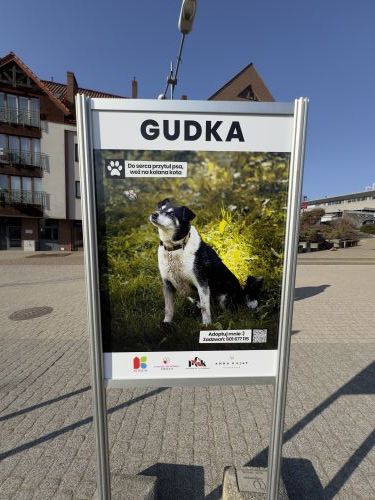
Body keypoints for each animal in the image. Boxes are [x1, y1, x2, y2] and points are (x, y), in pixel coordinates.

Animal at [151, 197, 264, 326]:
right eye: (160, 209)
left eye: (171, 214)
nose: (154, 214)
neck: (176, 248)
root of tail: (242, 293)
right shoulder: (167, 285)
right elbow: (168, 308)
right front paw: (166, 323)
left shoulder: (201, 283)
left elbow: (205, 309)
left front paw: (206, 325)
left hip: (224, 299)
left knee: (227, 312)